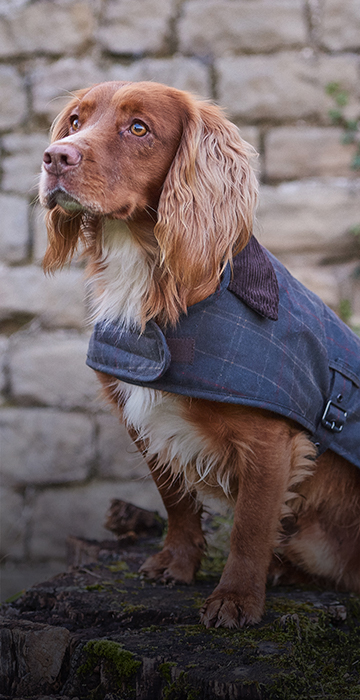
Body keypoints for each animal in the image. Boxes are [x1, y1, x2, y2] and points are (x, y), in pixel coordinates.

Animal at [39, 80, 360, 628]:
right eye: (76, 122)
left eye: (139, 128)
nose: (55, 156)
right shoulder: (143, 417)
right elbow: (176, 501)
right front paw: (177, 563)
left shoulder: (271, 442)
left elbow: (250, 526)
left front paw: (236, 599)